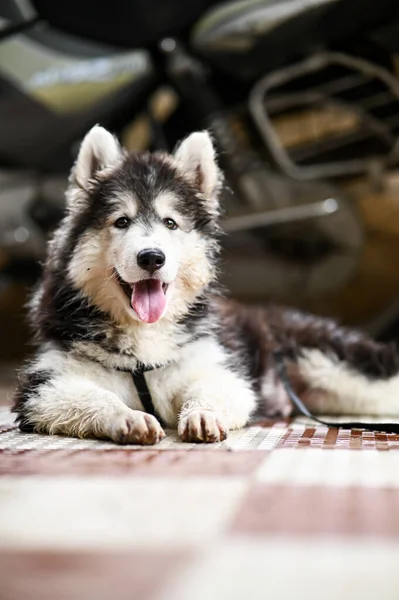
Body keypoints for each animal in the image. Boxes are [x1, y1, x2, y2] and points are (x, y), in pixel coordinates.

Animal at [14, 126, 399, 442]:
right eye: (121, 221)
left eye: (170, 223)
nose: (151, 258)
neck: (144, 339)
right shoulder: (44, 387)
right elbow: (96, 397)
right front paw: (126, 417)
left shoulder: (222, 368)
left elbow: (209, 389)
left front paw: (202, 413)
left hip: (335, 363)